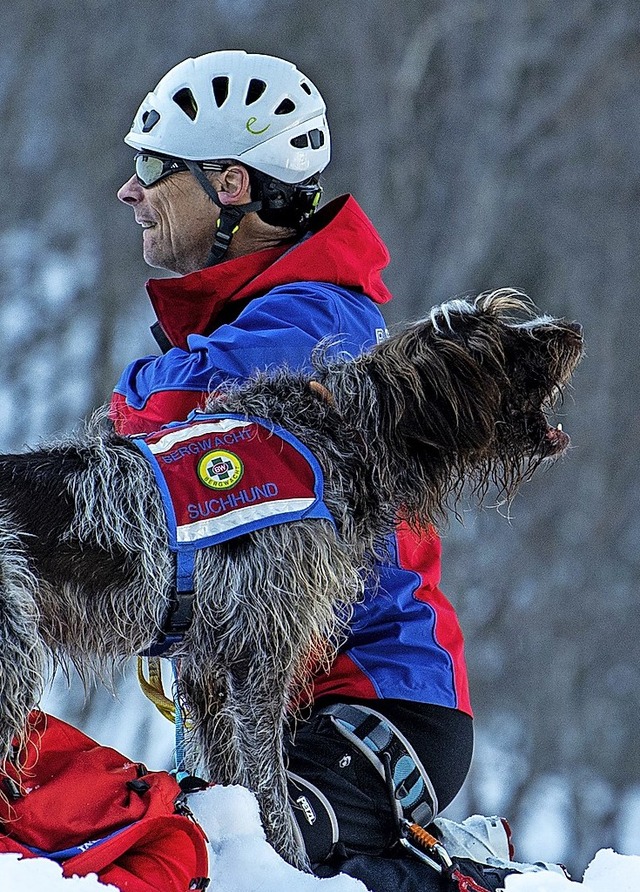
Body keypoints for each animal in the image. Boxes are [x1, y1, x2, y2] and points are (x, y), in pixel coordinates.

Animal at [0, 290, 584, 864]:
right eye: (503, 341)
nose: (571, 330)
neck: (340, 435)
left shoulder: (209, 667)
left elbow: (234, 778)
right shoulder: (260, 660)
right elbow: (270, 791)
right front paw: (287, 863)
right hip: (16, 660)